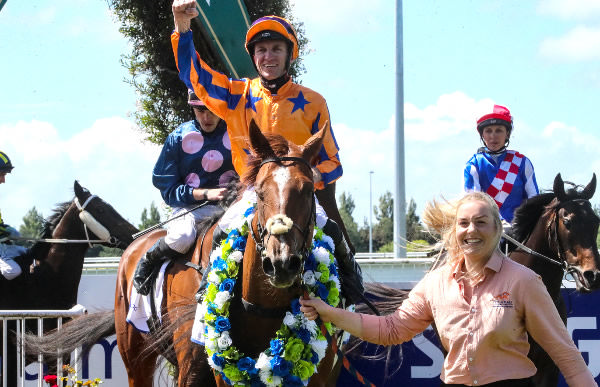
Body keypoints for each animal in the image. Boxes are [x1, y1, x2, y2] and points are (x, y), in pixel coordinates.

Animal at [28, 122, 340, 387]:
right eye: (260, 192)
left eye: (308, 190)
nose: (282, 263)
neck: (260, 308)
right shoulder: (200, 367)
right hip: (135, 353)